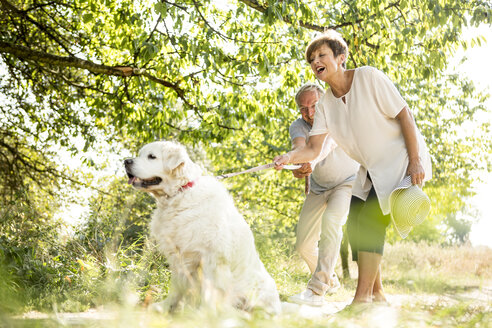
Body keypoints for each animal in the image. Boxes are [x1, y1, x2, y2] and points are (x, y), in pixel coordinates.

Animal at [124, 140, 280, 312]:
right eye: (139, 154)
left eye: (152, 156)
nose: (126, 161)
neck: (180, 193)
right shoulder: (178, 256)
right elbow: (176, 287)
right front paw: (166, 307)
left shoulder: (211, 258)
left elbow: (210, 291)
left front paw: (204, 313)